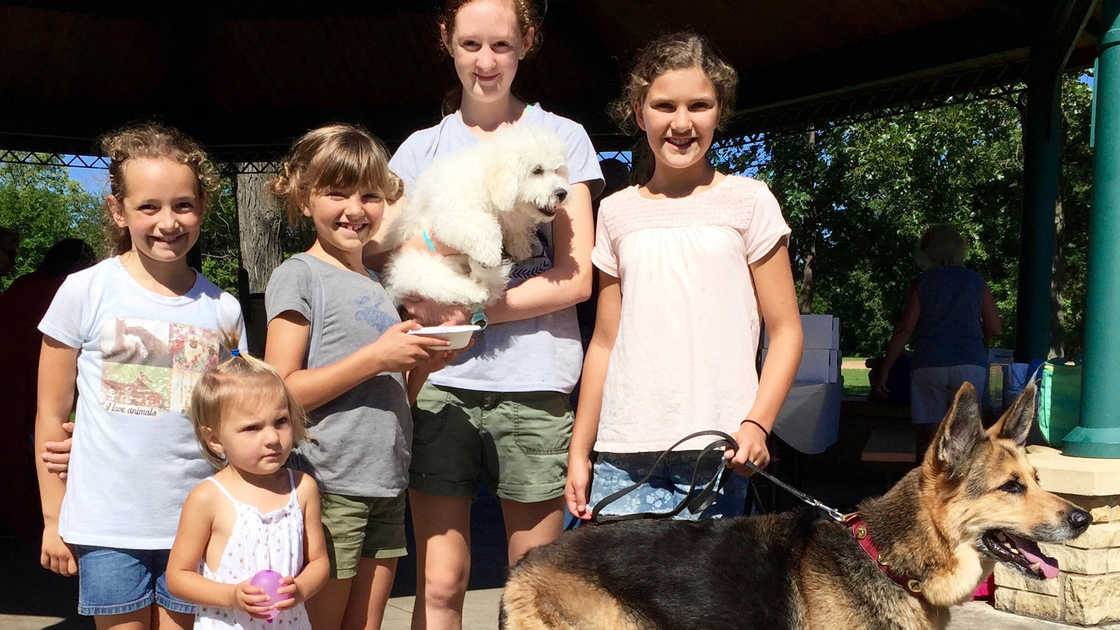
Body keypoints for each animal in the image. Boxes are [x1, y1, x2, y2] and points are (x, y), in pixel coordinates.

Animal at [380, 124, 568, 307]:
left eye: (558, 171)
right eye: (537, 170)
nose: (562, 193)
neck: (488, 180)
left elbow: (515, 230)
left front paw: (521, 248)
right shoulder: (455, 211)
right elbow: (482, 226)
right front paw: (490, 254)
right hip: (415, 265)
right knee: (442, 285)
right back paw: (475, 291)